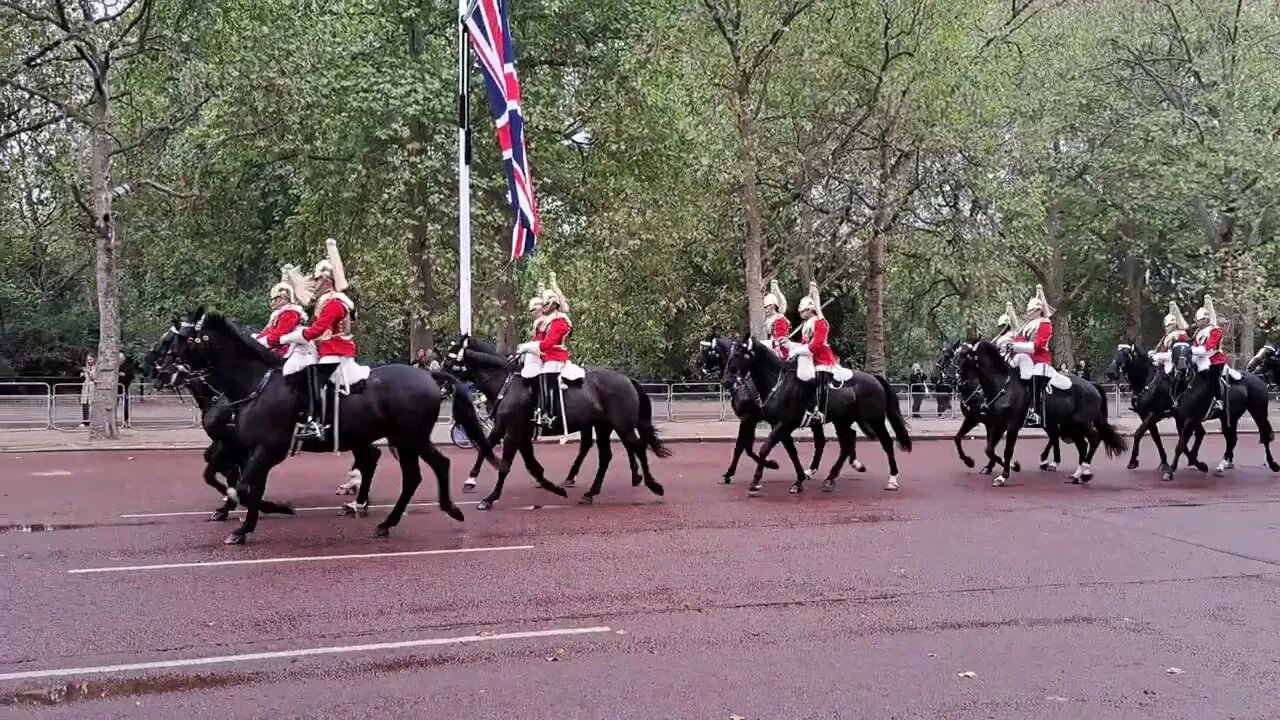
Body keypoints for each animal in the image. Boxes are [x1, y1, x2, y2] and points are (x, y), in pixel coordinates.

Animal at [151, 304, 488, 540]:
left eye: (182, 338)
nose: (160, 372)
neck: (254, 385)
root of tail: (428, 376)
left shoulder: (265, 449)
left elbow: (245, 486)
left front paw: (265, 513)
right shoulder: (244, 447)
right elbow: (241, 483)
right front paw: (244, 520)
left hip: (408, 439)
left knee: (417, 472)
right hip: (401, 439)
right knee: (415, 469)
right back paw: (392, 517)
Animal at [442, 333, 670, 507]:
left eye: (449, 361)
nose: (440, 385)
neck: (506, 383)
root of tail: (626, 378)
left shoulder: (513, 430)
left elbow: (506, 463)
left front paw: (489, 498)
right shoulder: (509, 428)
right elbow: (497, 451)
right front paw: (472, 479)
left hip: (621, 424)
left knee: (636, 446)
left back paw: (653, 485)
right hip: (603, 426)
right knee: (606, 455)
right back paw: (591, 492)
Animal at [727, 333, 916, 491]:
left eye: (738, 354)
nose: (727, 381)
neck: (778, 382)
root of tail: (874, 379)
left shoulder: (782, 424)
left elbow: (764, 449)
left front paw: (758, 477)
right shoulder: (778, 425)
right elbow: (789, 451)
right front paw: (797, 478)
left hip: (875, 419)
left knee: (886, 442)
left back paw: (892, 480)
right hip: (843, 420)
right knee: (846, 443)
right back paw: (831, 477)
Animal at [1167, 338, 1274, 479]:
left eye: (1189, 352)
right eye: (1174, 350)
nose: (1182, 368)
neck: (1187, 386)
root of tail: (1256, 378)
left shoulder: (1191, 419)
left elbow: (1181, 445)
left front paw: (1170, 471)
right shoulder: (1180, 419)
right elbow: (1183, 444)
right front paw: (1198, 464)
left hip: (1259, 412)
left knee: (1264, 435)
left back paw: (1272, 464)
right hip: (1230, 417)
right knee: (1232, 439)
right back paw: (1222, 464)